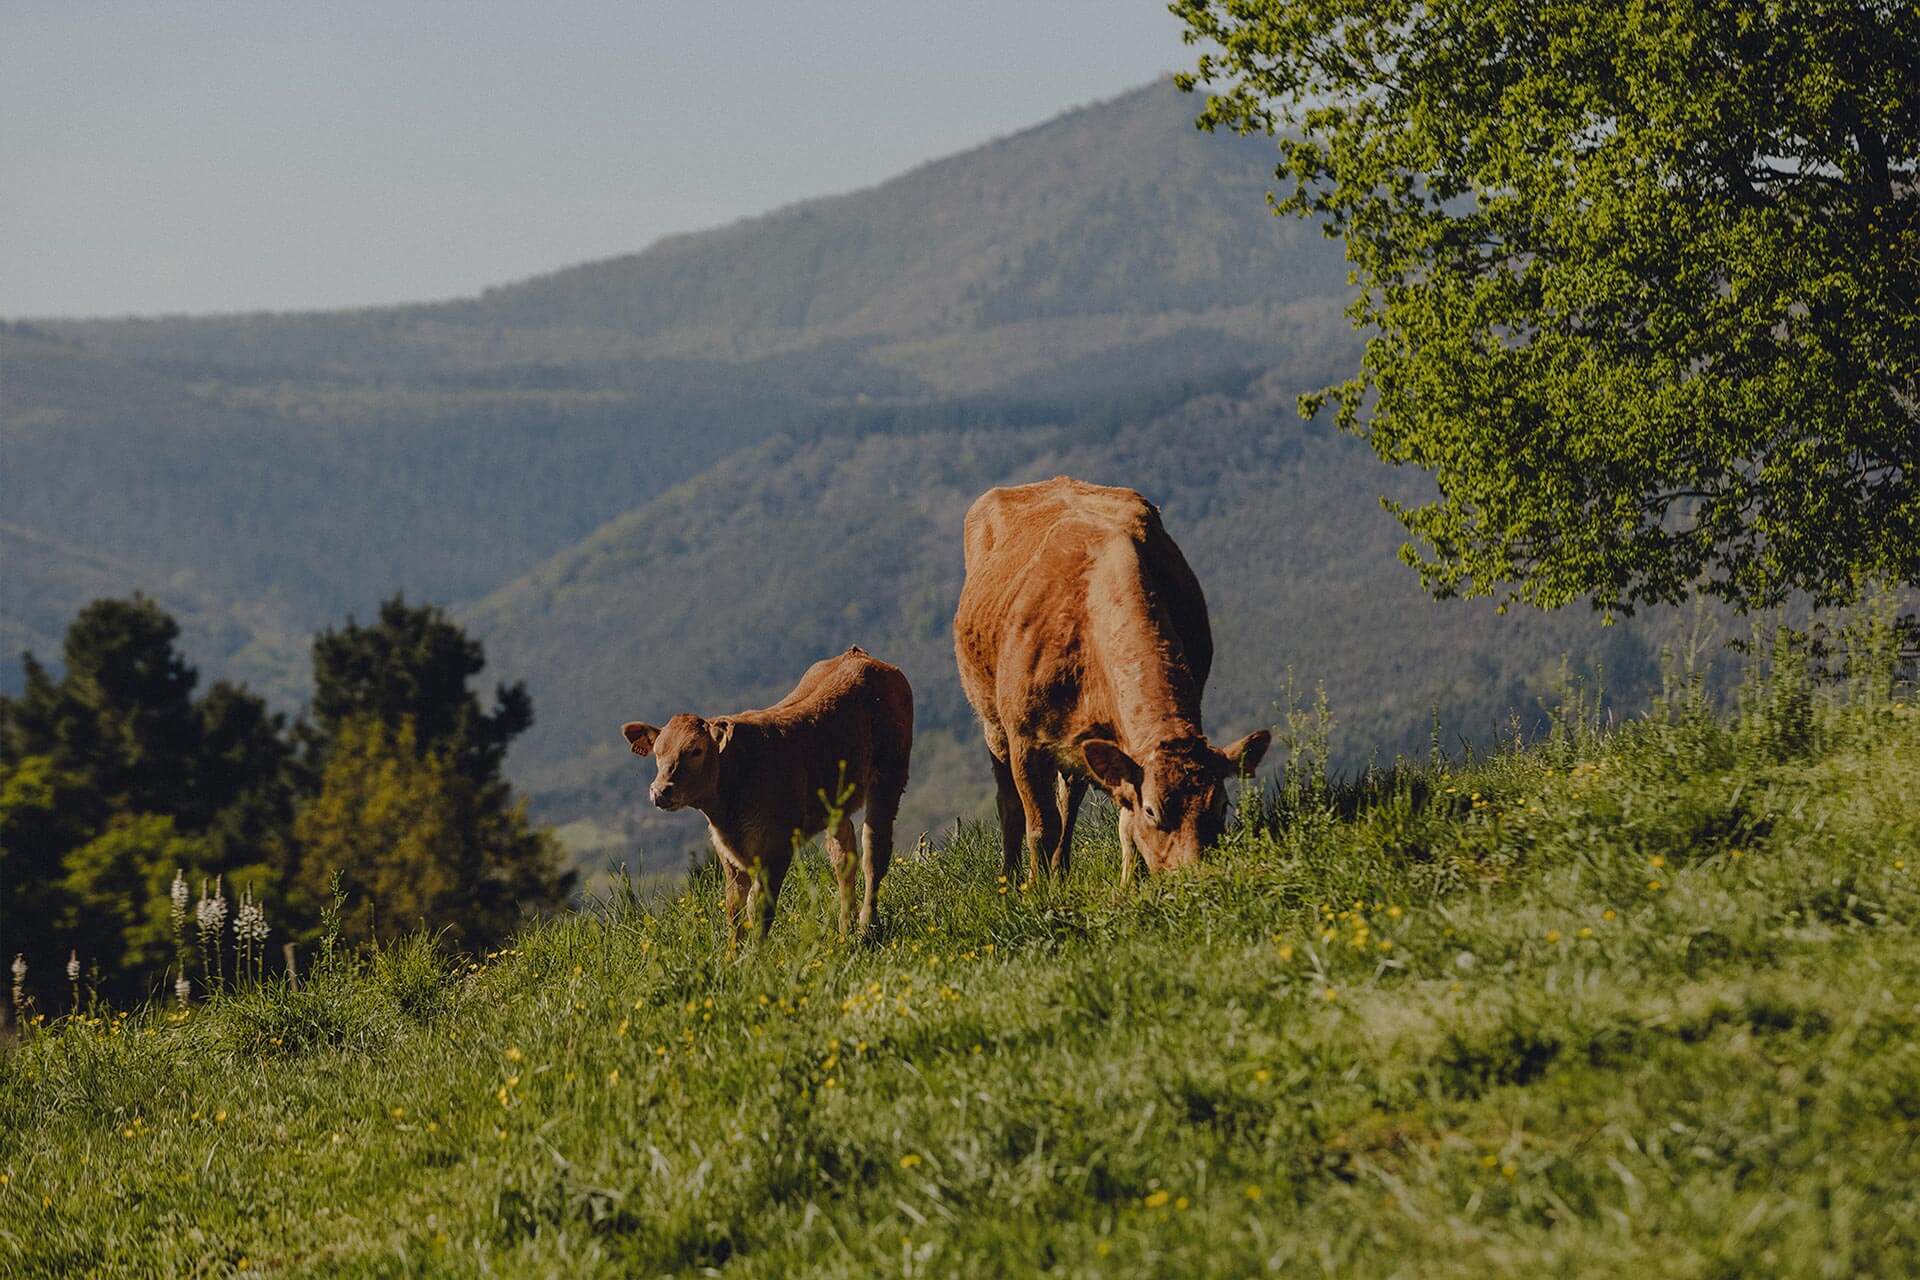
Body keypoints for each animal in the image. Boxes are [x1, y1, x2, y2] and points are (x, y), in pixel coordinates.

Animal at [618, 652, 910, 940]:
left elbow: (759, 910)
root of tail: (859, 655)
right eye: (658, 752)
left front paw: (757, 954)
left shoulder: (777, 846)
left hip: (890, 775)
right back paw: (844, 932)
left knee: (874, 851)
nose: (660, 790)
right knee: (843, 855)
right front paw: (732, 954)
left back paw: (866, 925)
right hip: (836, 804)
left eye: (695, 750)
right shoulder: (729, 855)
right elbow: (734, 909)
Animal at [952, 475, 1267, 886]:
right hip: (993, 723)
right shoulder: (1026, 740)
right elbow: (1040, 825)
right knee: (1010, 805)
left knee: (1068, 797)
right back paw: (1010, 874)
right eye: (1153, 811)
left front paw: (1131, 882)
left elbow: (1122, 826)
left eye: (1223, 805)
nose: (1192, 876)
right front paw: (1035, 890)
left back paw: (1061, 867)